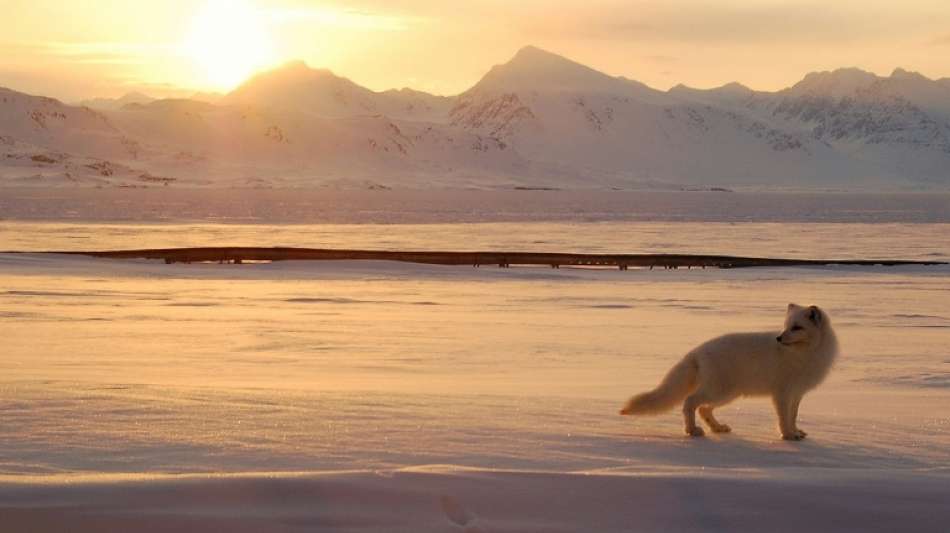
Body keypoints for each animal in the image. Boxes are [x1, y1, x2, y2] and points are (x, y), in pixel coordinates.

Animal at [624, 302, 840, 438]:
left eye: (796, 327)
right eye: (786, 326)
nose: (778, 338)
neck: (804, 353)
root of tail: (697, 351)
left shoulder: (797, 393)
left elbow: (793, 416)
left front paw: (796, 432)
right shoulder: (782, 393)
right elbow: (783, 417)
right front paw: (787, 435)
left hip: (727, 394)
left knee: (703, 409)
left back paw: (717, 428)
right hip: (719, 391)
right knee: (690, 402)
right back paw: (692, 430)